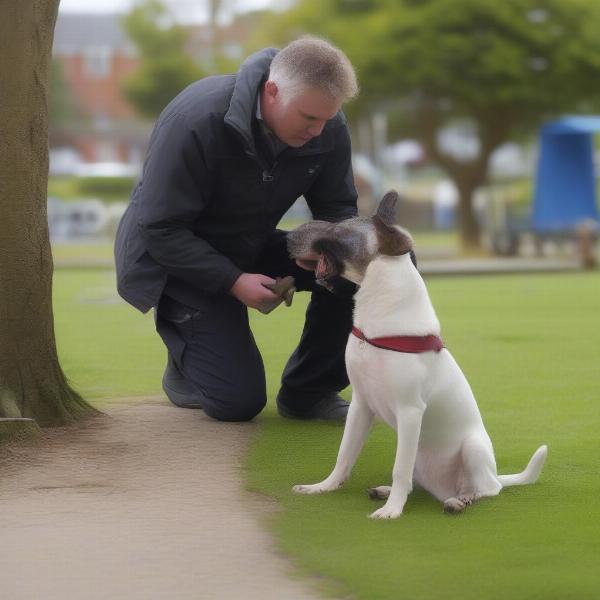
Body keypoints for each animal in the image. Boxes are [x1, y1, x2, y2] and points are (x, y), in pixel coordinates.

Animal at [288, 190, 548, 516]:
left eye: (339, 229)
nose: (288, 237)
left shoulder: (410, 411)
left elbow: (398, 469)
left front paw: (392, 511)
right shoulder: (361, 406)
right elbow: (345, 455)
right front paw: (323, 487)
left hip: (472, 449)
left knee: (485, 490)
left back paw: (460, 500)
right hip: (419, 454)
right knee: (416, 481)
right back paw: (392, 491)